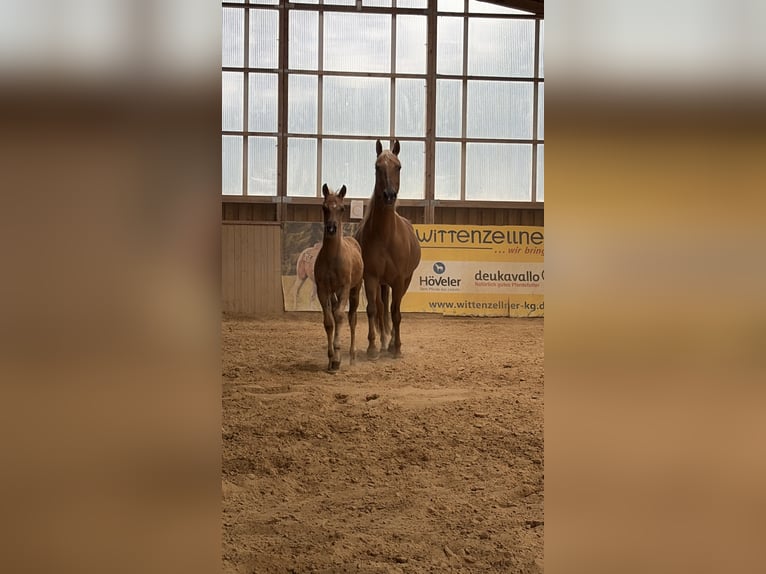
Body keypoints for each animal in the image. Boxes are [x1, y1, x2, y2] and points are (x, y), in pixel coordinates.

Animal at [314, 184, 364, 372]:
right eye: (324, 207)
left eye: (342, 208)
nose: (331, 228)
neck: (332, 258)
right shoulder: (323, 290)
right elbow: (329, 321)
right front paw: (331, 358)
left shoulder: (344, 288)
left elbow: (340, 316)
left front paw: (337, 358)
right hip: (333, 293)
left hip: (355, 290)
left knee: (352, 318)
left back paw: (352, 356)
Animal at [354, 139, 421, 359]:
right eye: (377, 167)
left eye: (398, 166)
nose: (389, 195)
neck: (385, 236)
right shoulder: (371, 277)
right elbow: (373, 310)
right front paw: (372, 348)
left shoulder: (399, 280)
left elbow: (396, 312)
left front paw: (397, 347)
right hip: (381, 283)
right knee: (382, 307)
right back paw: (384, 341)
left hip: (404, 281)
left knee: (391, 309)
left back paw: (391, 343)